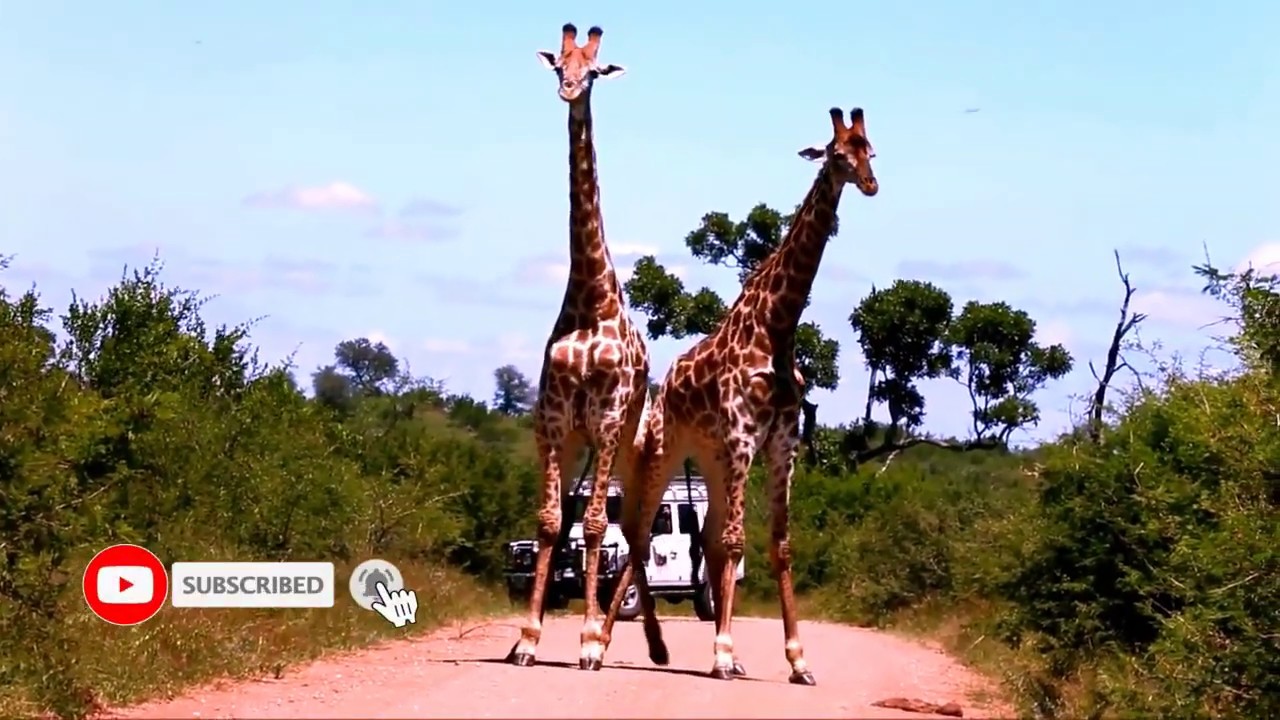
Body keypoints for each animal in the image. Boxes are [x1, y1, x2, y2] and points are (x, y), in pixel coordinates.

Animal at [601, 107, 879, 683]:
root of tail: (665, 386)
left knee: (699, 537)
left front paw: (797, 661)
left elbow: (778, 544)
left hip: (710, 458)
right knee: (639, 531)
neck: (777, 326)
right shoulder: (743, 438)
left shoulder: (780, 444)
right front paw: (724, 654)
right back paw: (608, 643)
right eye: (837, 153)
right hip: (669, 449)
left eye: (871, 150)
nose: (870, 184)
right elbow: (733, 541)